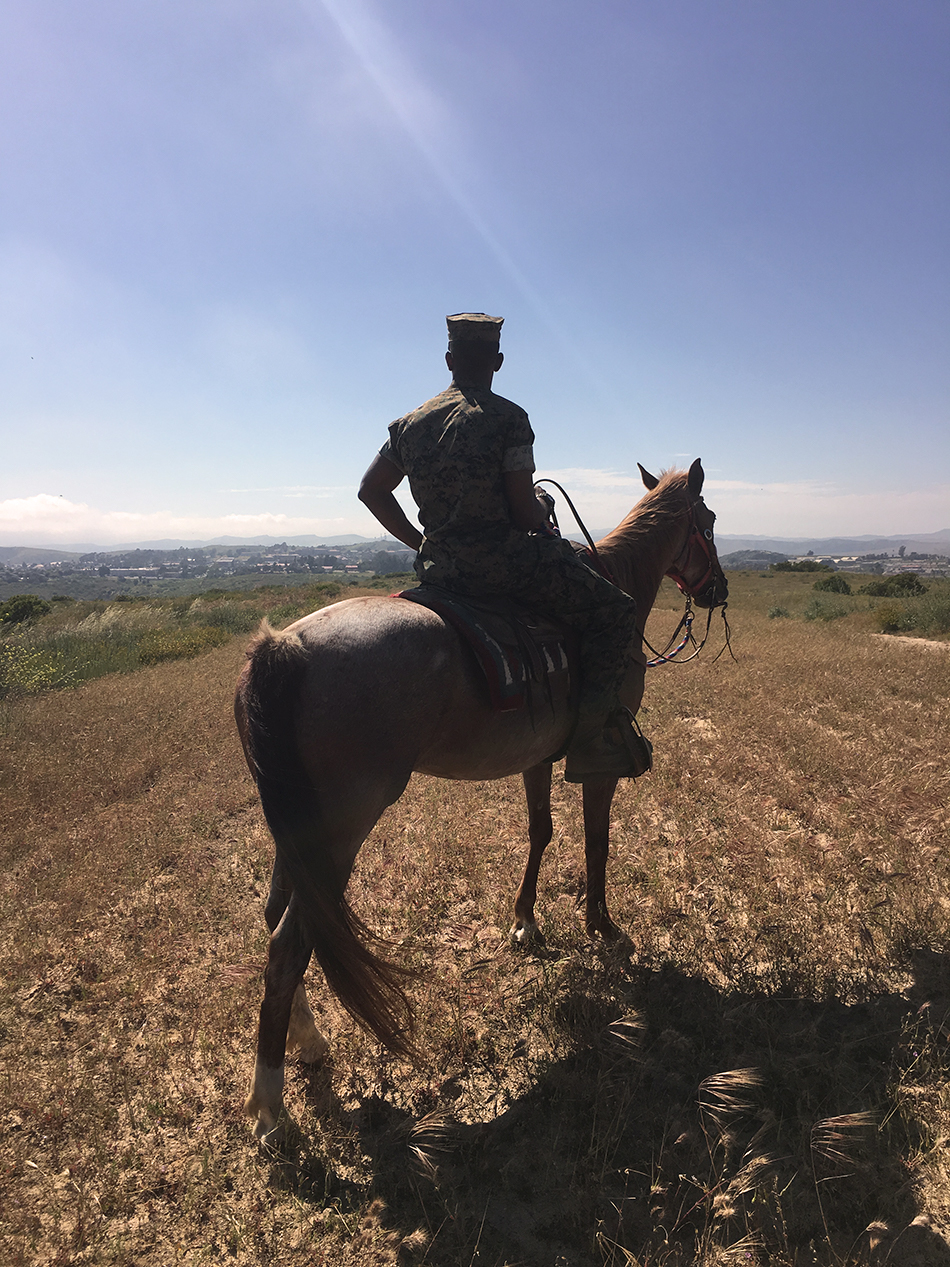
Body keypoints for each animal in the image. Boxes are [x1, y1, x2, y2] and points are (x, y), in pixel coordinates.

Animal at [234, 456, 724, 1140]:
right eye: (710, 521)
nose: (719, 591)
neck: (616, 590)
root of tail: (284, 648)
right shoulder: (599, 761)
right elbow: (597, 844)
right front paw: (604, 927)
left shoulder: (539, 758)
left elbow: (541, 831)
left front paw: (525, 922)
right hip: (337, 834)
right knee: (288, 946)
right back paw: (271, 1108)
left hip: (298, 834)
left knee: (276, 920)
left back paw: (306, 1045)